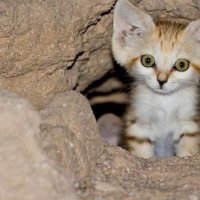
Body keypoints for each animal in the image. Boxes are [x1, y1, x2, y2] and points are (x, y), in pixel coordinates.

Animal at [111, 0, 200, 159]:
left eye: (182, 65)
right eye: (147, 60)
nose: (161, 81)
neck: (165, 102)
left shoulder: (190, 124)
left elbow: (187, 150)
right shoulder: (138, 126)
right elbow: (143, 153)